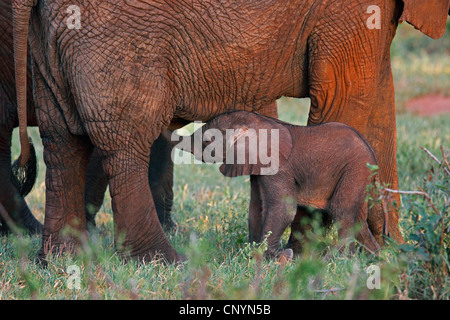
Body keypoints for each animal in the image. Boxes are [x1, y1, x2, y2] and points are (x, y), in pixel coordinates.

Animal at [172, 111, 386, 258]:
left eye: (207, 141)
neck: (259, 122)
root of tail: (374, 156)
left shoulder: (277, 168)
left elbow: (283, 207)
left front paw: (273, 256)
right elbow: (257, 207)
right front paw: (253, 252)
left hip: (355, 169)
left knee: (342, 211)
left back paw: (337, 259)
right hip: (359, 175)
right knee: (358, 219)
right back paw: (376, 258)